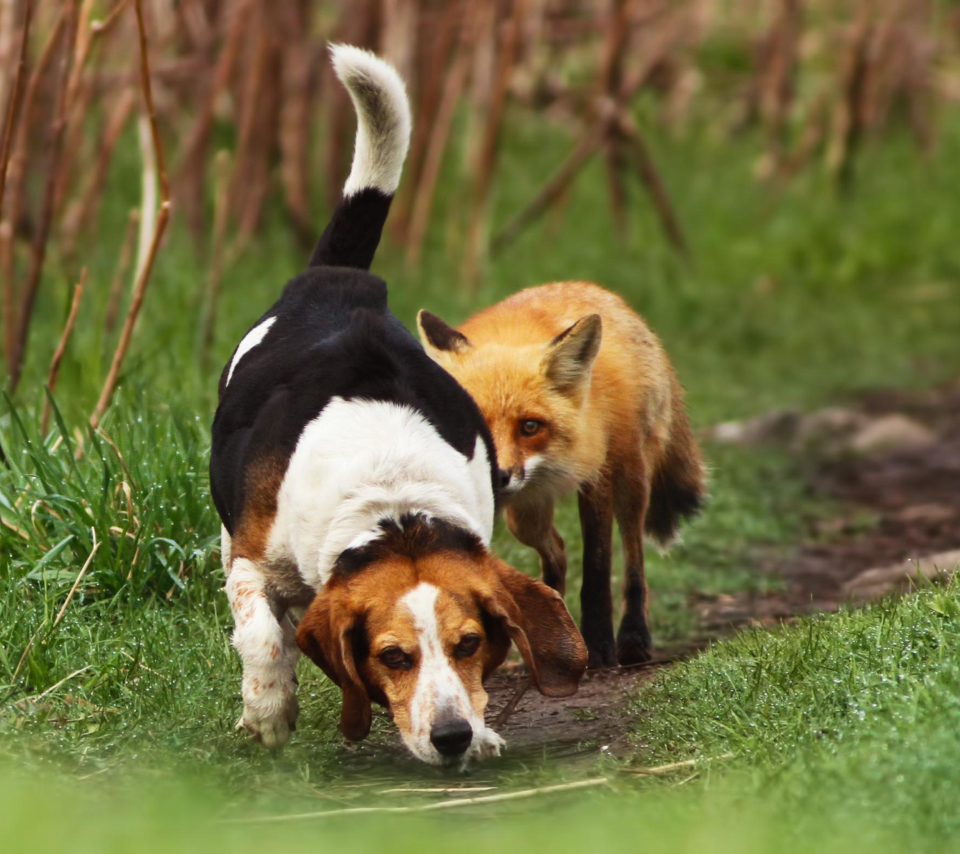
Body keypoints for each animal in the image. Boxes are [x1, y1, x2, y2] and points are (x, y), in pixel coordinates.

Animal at [209, 46, 584, 768]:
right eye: (392, 657)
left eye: (470, 644)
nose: (452, 736)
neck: (393, 506)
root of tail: (340, 281)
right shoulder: (252, 559)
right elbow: (261, 632)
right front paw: (269, 708)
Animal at [418, 280, 704, 668]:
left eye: (530, 427)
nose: (498, 477)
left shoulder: (597, 476)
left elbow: (597, 570)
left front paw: (599, 648)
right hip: (524, 517)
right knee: (557, 550)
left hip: (632, 480)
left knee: (633, 558)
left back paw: (633, 638)